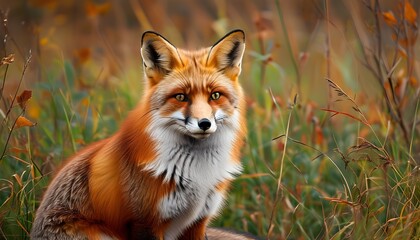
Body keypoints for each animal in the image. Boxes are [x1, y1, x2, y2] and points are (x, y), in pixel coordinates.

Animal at [31, 29, 251, 238]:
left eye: (215, 95)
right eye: (181, 97)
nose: (204, 123)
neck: (197, 173)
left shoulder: (197, 222)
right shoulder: (144, 222)